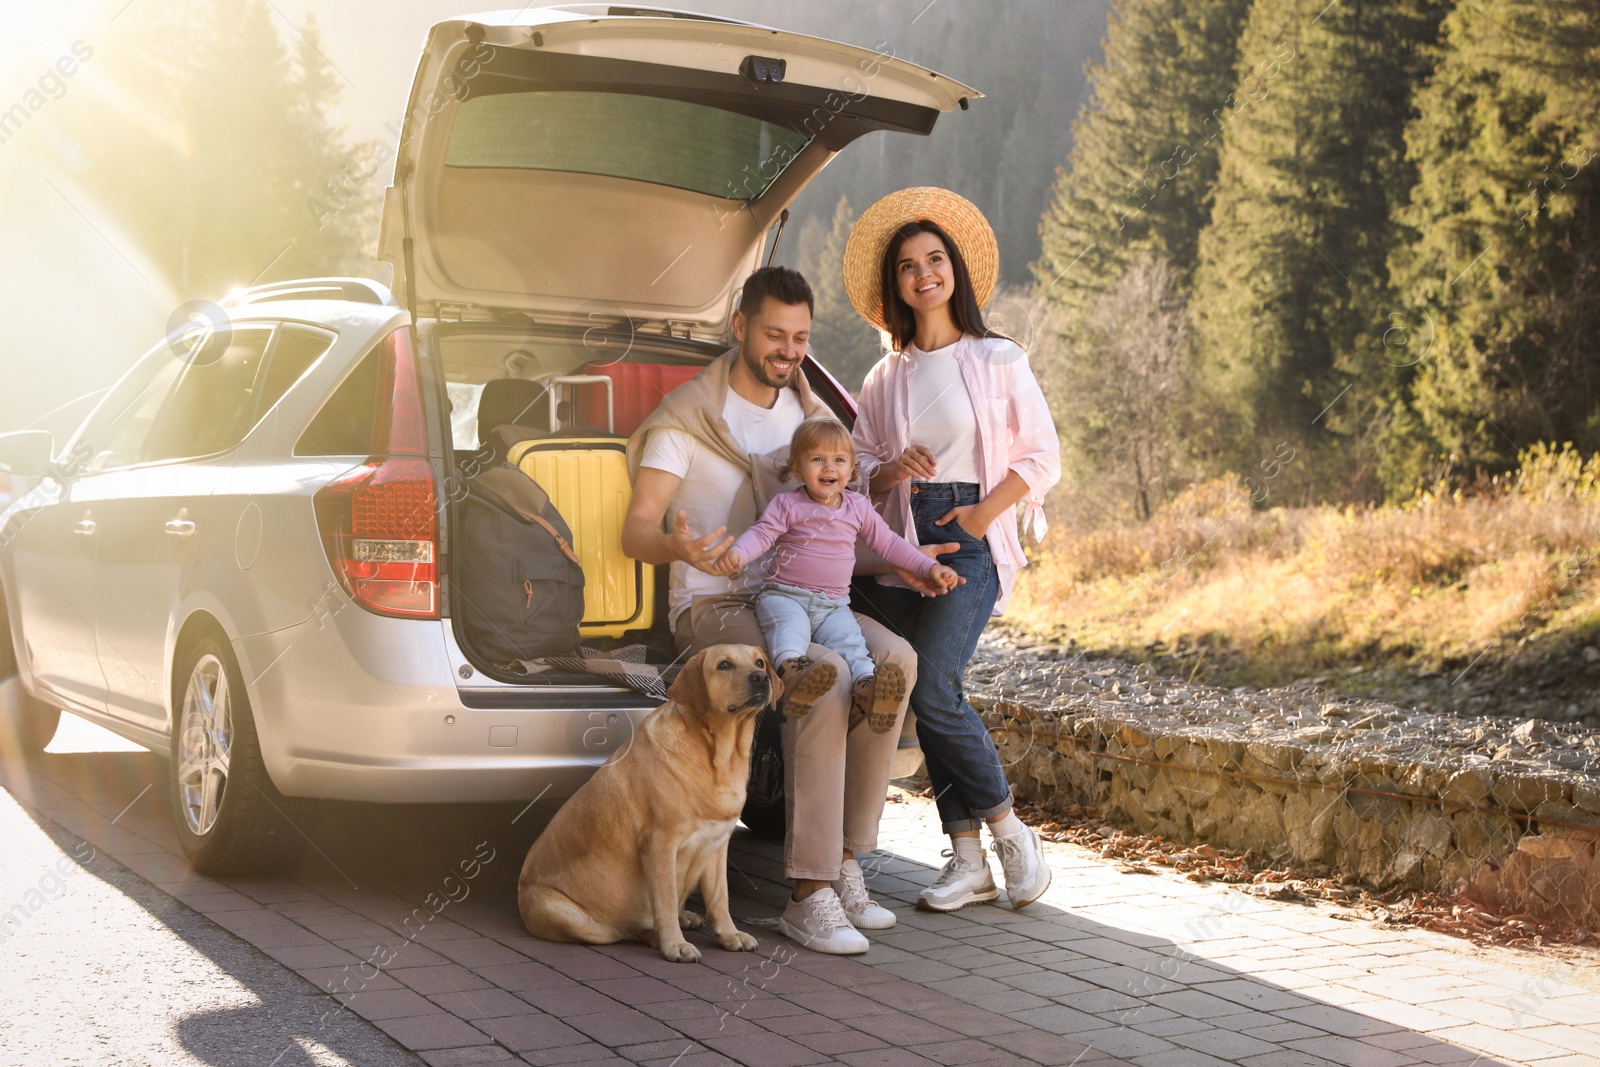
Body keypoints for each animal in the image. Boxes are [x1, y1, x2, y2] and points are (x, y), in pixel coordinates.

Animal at [518, 646, 780, 966]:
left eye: (759, 662)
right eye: (724, 665)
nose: (761, 677)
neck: (719, 759)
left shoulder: (718, 844)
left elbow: (720, 899)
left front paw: (730, 935)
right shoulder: (660, 842)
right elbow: (664, 900)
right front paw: (675, 945)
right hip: (573, 918)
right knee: (624, 930)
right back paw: (658, 934)